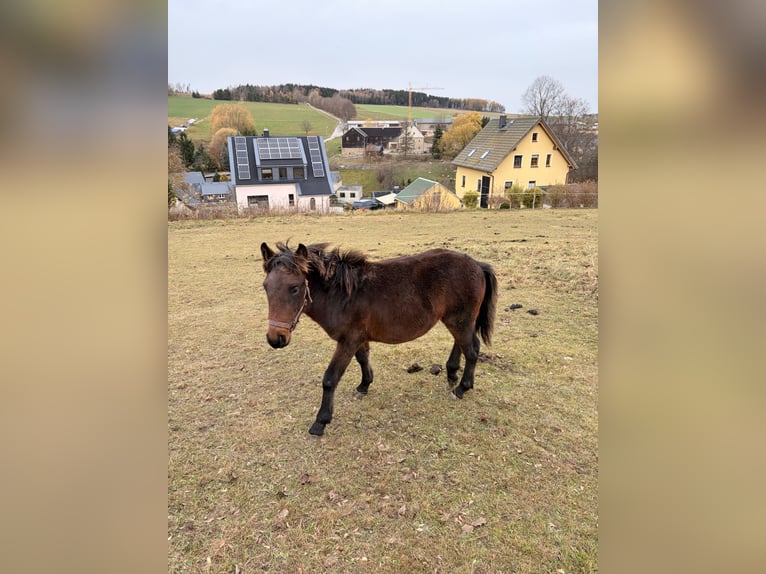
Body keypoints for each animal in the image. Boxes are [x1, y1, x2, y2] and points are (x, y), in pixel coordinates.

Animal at [260, 241, 498, 436]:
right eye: (265, 287)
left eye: (294, 288)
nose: (276, 339)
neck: (342, 296)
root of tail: (476, 264)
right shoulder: (358, 339)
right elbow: (363, 359)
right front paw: (364, 386)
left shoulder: (348, 341)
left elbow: (330, 379)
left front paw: (320, 422)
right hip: (455, 320)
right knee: (463, 344)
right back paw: (451, 373)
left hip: (460, 320)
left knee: (472, 350)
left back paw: (461, 388)